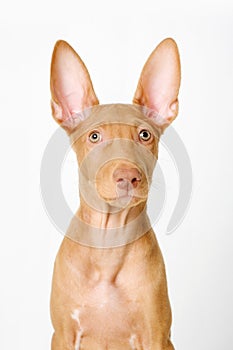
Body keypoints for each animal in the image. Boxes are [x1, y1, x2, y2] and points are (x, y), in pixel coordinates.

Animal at [49, 37, 180, 348]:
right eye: (95, 136)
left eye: (144, 135)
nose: (128, 177)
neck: (109, 241)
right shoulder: (63, 335)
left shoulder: (157, 335)